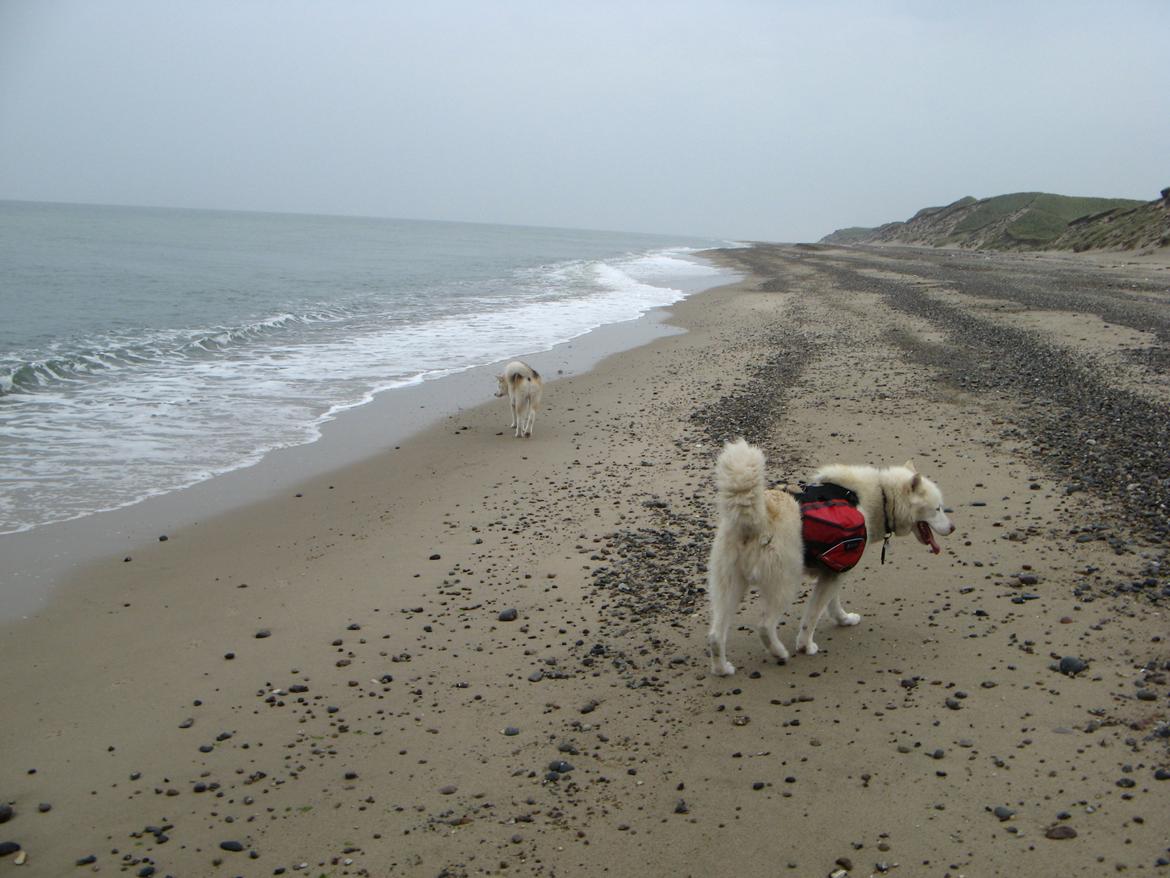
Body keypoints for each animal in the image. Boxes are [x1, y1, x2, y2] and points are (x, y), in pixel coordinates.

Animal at [706, 437, 954, 678]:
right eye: (938, 509)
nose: (953, 528)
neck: (881, 496)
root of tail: (754, 519)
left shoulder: (833, 572)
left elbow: (833, 604)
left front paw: (844, 620)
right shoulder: (834, 575)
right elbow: (812, 616)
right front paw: (806, 646)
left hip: (729, 586)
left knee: (716, 635)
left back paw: (722, 669)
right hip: (784, 584)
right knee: (765, 626)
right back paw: (780, 653)